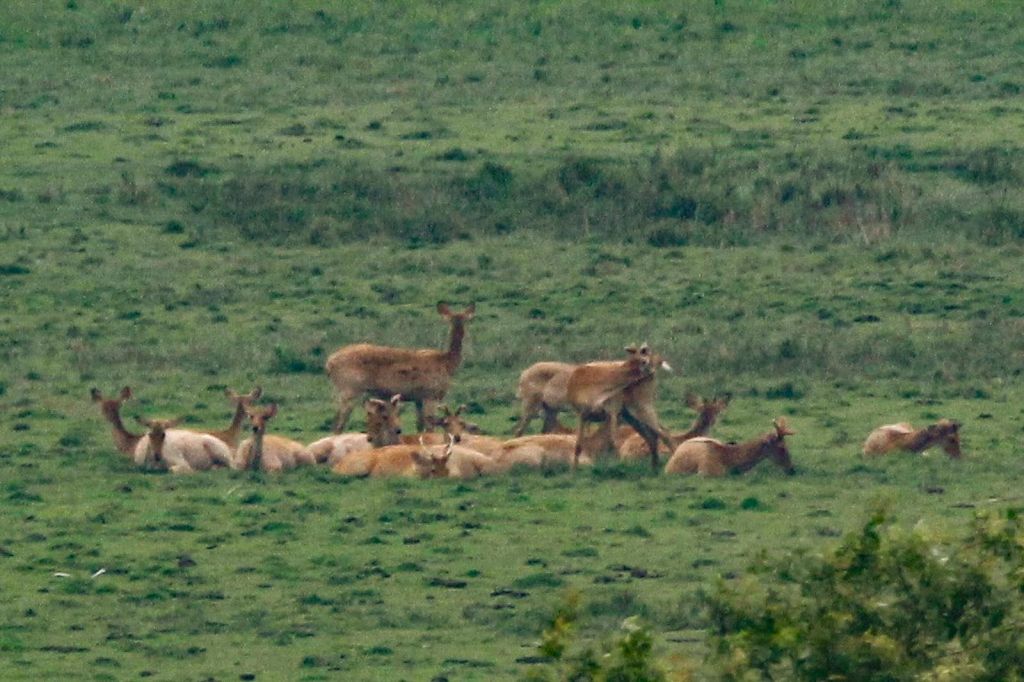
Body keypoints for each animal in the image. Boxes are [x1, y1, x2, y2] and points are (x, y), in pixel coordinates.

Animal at [325, 302, 475, 434]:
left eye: (464, 319)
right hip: (350, 388)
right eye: (452, 319)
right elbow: (430, 426)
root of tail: (329, 363)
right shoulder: (431, 395)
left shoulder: (418, 398)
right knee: (338, 424)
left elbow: (419, 426)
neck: (447, 364)